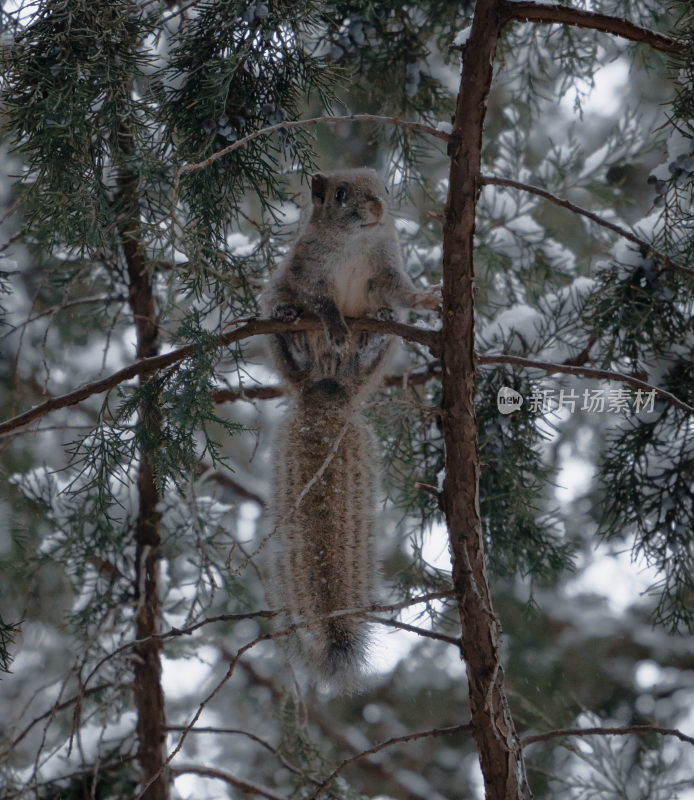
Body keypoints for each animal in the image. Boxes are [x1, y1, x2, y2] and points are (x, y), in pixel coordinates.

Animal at [260, 167, 430, 688]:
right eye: (338, 194)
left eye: (383, 184)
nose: (377, 207)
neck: (356, 242)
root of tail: (329, 390)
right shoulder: (306, 269)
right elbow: (321, 300)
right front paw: (333, 324)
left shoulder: (387, 266)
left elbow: (397, 289)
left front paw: (423, 298)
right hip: (280, 311)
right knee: (292, 329)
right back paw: (294, 327)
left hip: (375, 357)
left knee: (376, 336)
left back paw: (374, 331)